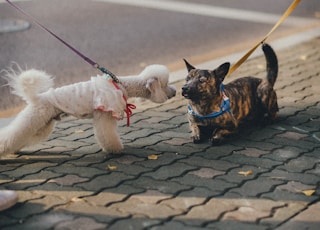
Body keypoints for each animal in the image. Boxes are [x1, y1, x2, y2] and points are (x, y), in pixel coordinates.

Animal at [0, 64, 176, 155]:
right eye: (165, 84)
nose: (175, 92)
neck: (122, 85)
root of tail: (36, 97)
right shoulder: (104, 115)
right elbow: (107, 135)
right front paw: (115, 149)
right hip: (34, 118)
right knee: (11, 136)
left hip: (43, 123)